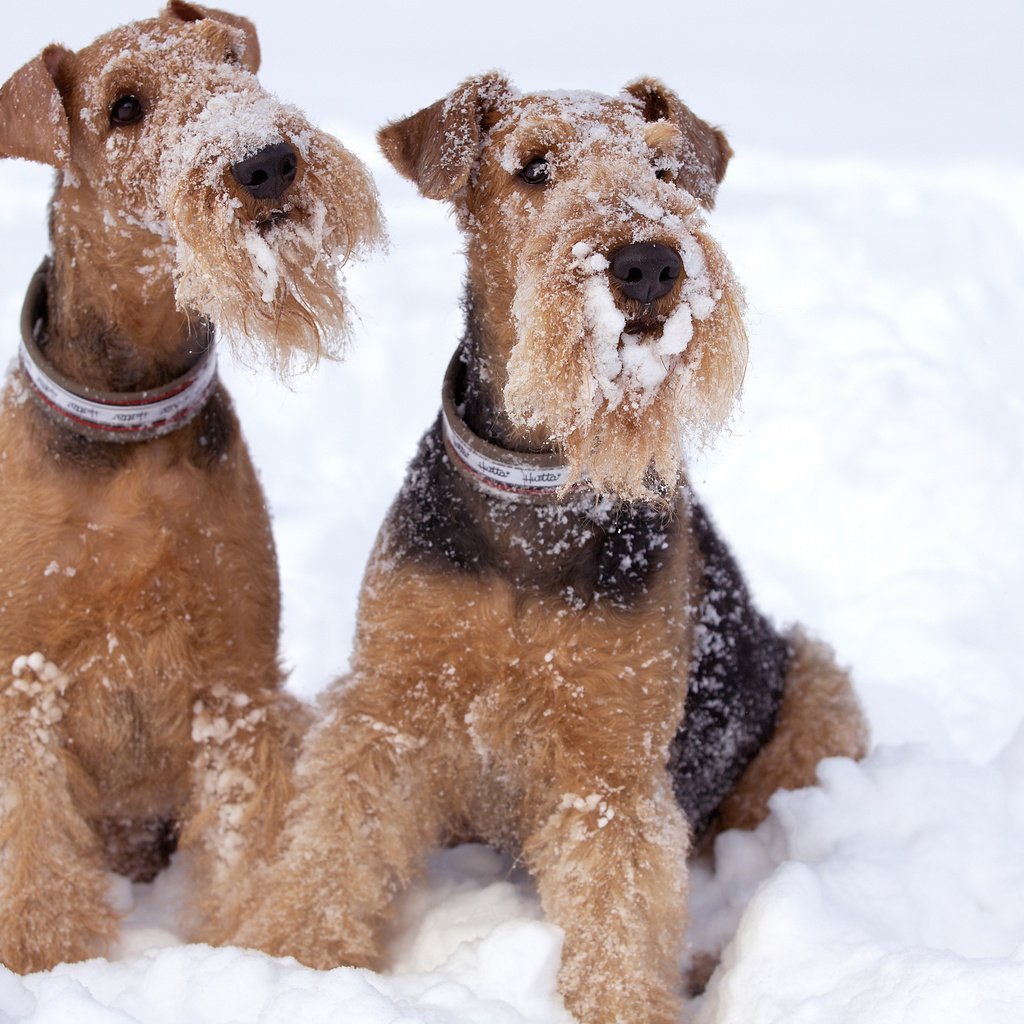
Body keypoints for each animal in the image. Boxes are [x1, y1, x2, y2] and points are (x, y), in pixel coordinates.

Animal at [232, 74, 864, 1024]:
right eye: (533, 166)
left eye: (664, 167)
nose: (649, 263)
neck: (537, 493)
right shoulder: (391, 705)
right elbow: (339, 840)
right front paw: (291, 963)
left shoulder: (611, 761)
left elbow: (619, 910)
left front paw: (624, 1005)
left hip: (817, 693)